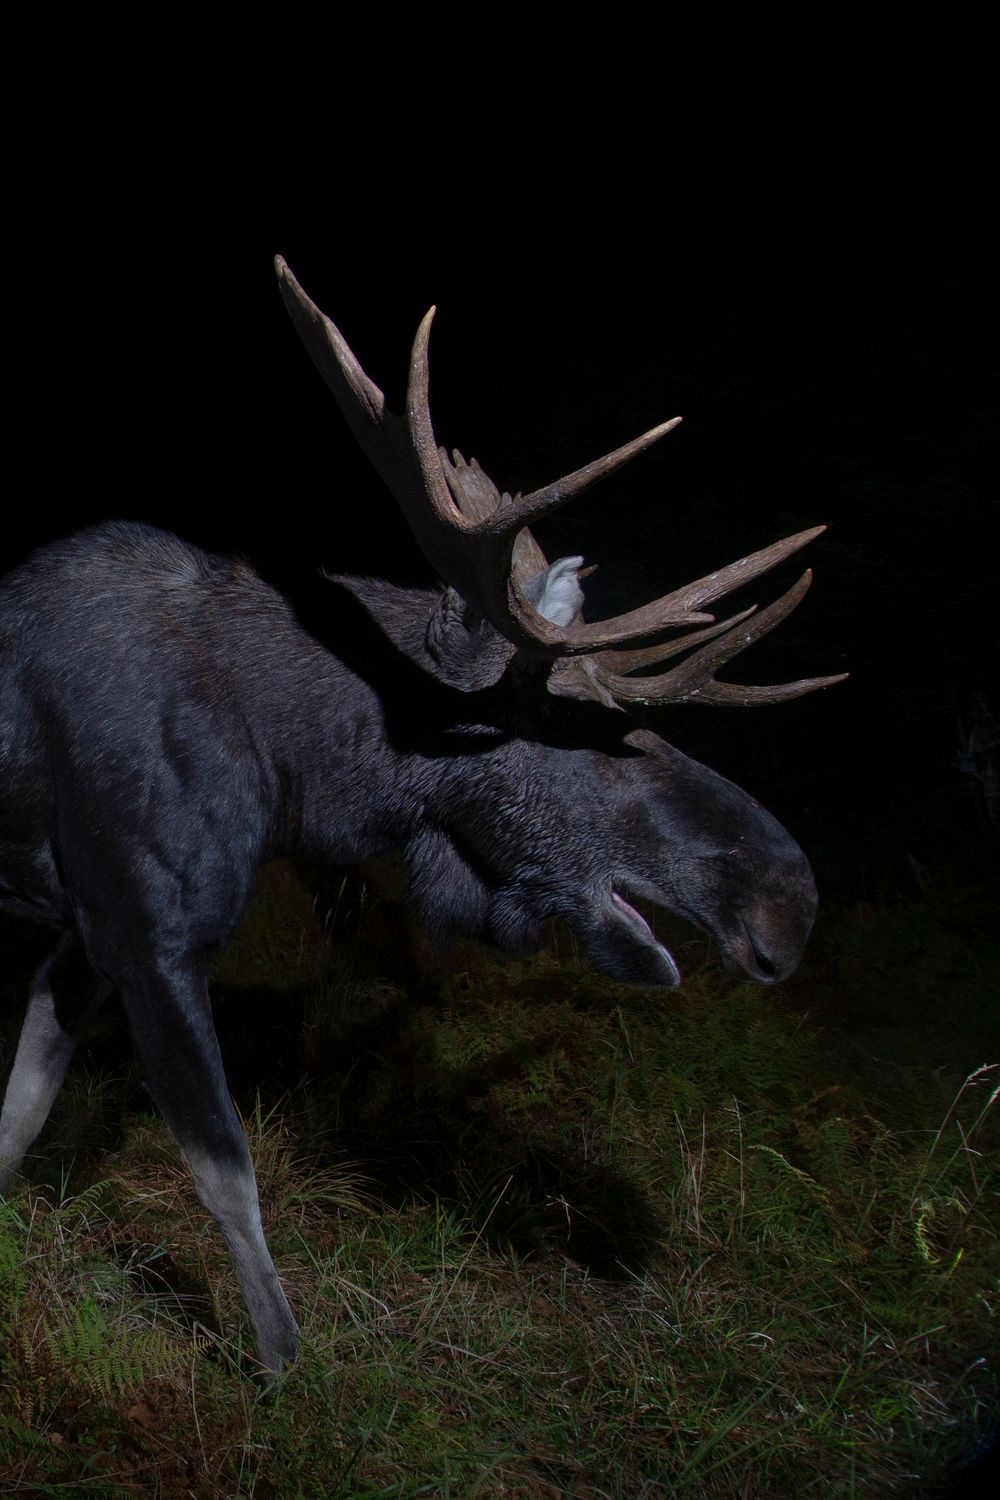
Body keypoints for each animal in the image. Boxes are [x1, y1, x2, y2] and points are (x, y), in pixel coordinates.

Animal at [0, 257, 845, 1375]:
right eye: (561, 720)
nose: (786, 902)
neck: (294, 762)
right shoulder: (149, 933)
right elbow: (227, 1175)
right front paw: (280, 1366)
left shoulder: (86, 939)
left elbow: (21, 1110)